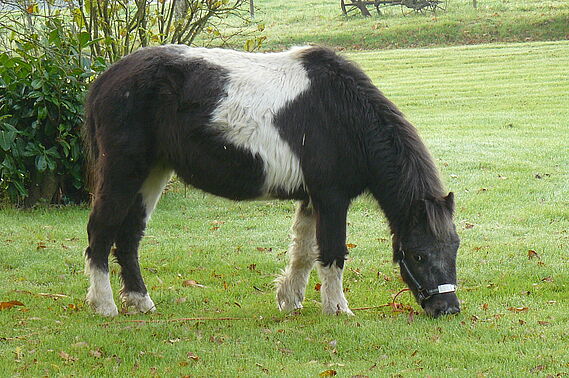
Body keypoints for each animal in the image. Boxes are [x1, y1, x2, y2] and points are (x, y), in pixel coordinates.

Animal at [82, 45, 460, 318]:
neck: (345, 114)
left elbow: (304, 252)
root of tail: (106, 79)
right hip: (123, 172)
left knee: (129, 236)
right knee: (100, 231)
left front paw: (290, 299)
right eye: (418, 255)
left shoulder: (311, 198)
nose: (448, 309)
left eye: (454, 248)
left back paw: (141, 301)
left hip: (153, 173)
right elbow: (332, 252)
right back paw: (105, 305)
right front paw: (338, 309)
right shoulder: (332, 198)